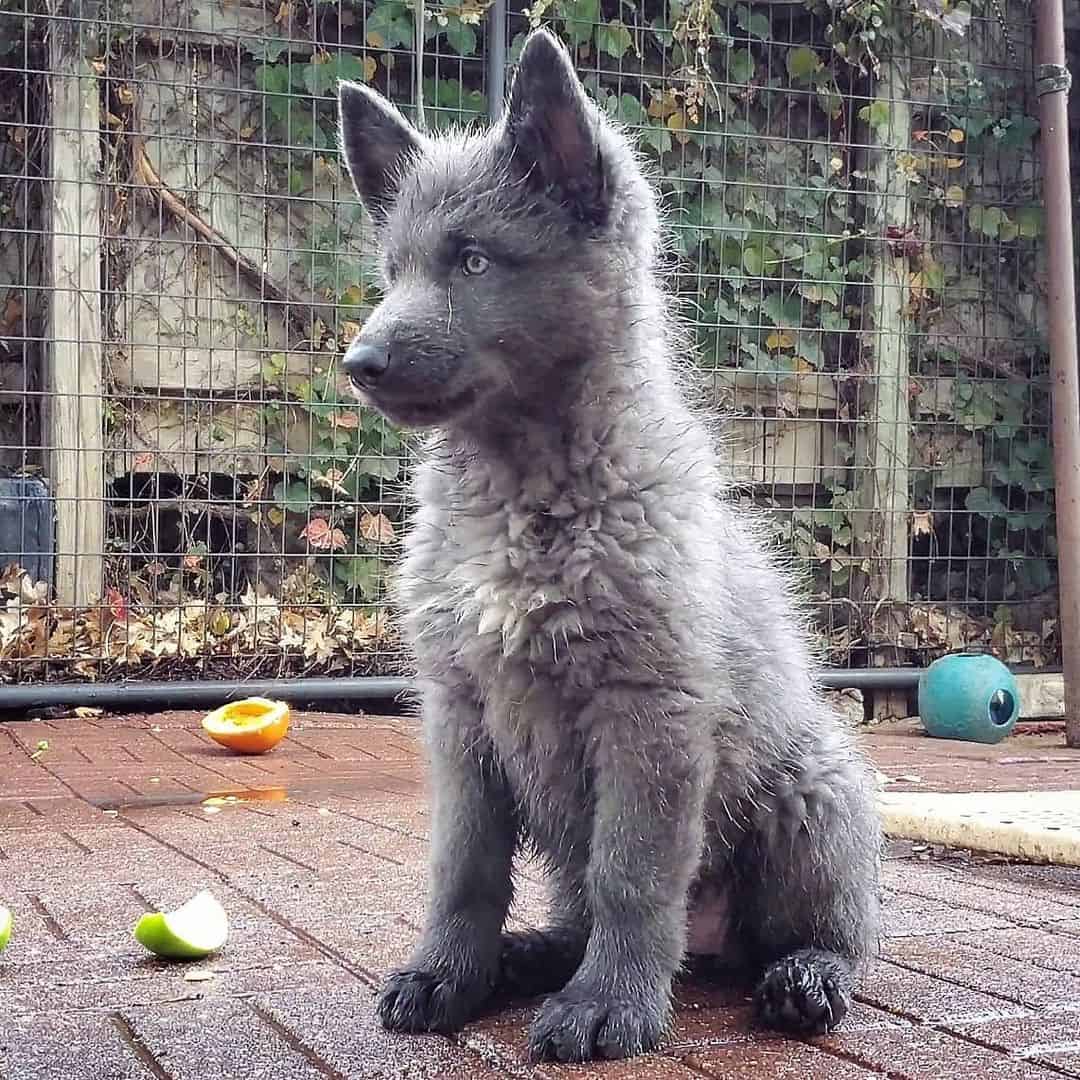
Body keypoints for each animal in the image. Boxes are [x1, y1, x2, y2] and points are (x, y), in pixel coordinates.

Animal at [336, 25, 876, 1062]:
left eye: (472, 262)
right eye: (392, 271)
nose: (359, 363)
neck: (523, 496)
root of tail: (710, 951)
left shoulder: (647, 712)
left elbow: (633, 875)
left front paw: (608, 1005)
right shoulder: (459, 716)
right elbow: (462, 872)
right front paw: (448, 972)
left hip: (814, 794)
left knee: (830, 929)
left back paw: (805, 977)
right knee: (576, 912)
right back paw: (526, 958)